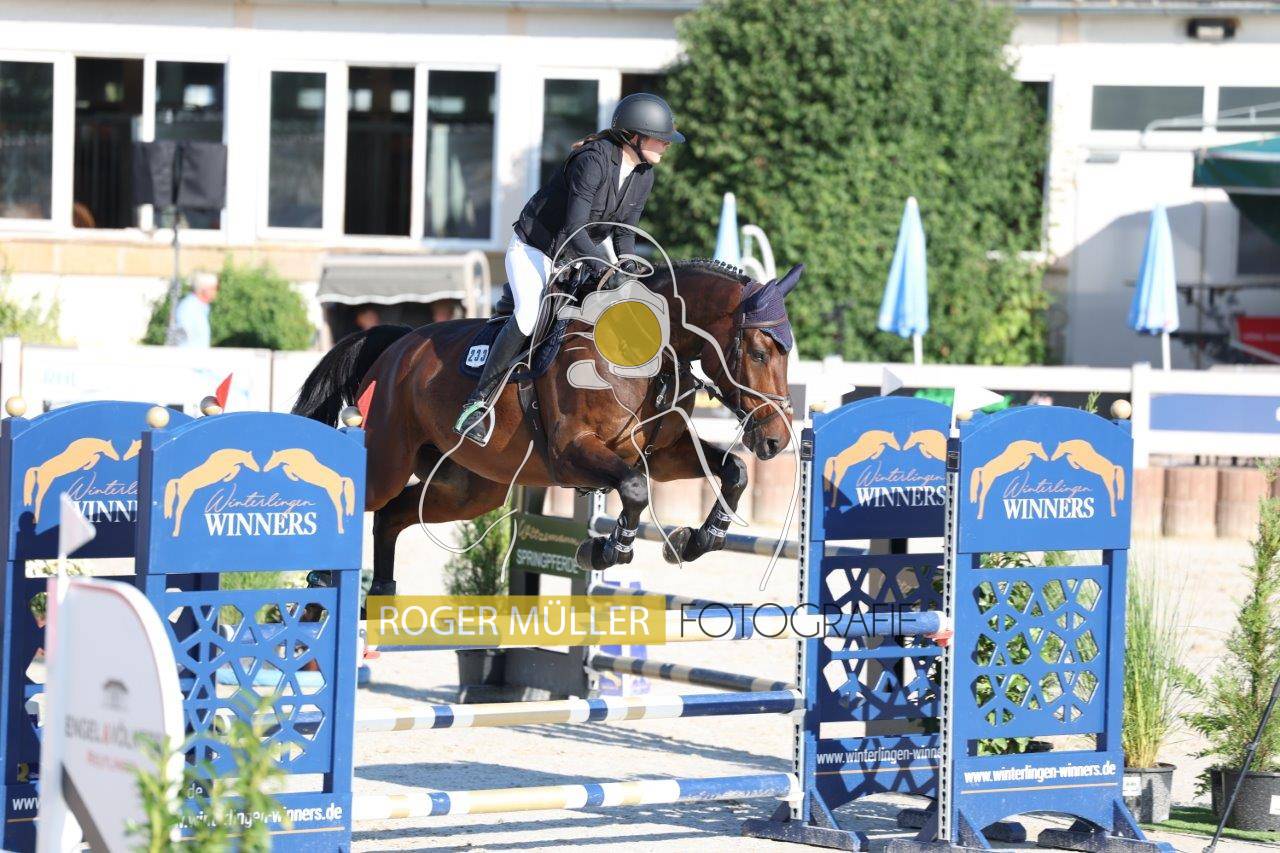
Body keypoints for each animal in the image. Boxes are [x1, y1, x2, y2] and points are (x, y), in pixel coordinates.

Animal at [292, 259, 802, 597]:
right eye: (759, 353)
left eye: (787, 354)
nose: (775, 440)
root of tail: (399, 344)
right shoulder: (574, 451)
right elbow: (635, 490)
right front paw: (603, 551)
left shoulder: (664, 455)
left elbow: (734, 470)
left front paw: (700, 539)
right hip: (388, 460)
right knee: (360, 498)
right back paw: (319, 581)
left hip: (467, 488)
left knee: (392, 516)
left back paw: (379, 593)